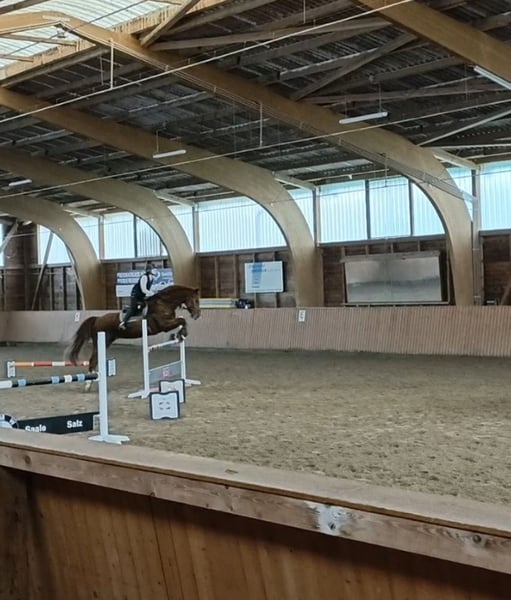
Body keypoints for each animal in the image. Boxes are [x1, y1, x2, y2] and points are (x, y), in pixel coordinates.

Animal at [66, 285, 201, 374]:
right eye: (196, 300)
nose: (197, 315)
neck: (164, 303)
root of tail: (97, 319)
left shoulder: (168, 323)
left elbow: (181, 320)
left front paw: (179, 335)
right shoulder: (163, 325)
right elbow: (182, 321)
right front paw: (181, 334)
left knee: (94, 360)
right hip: (101, 342)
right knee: (93, 360)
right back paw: (89, 383)